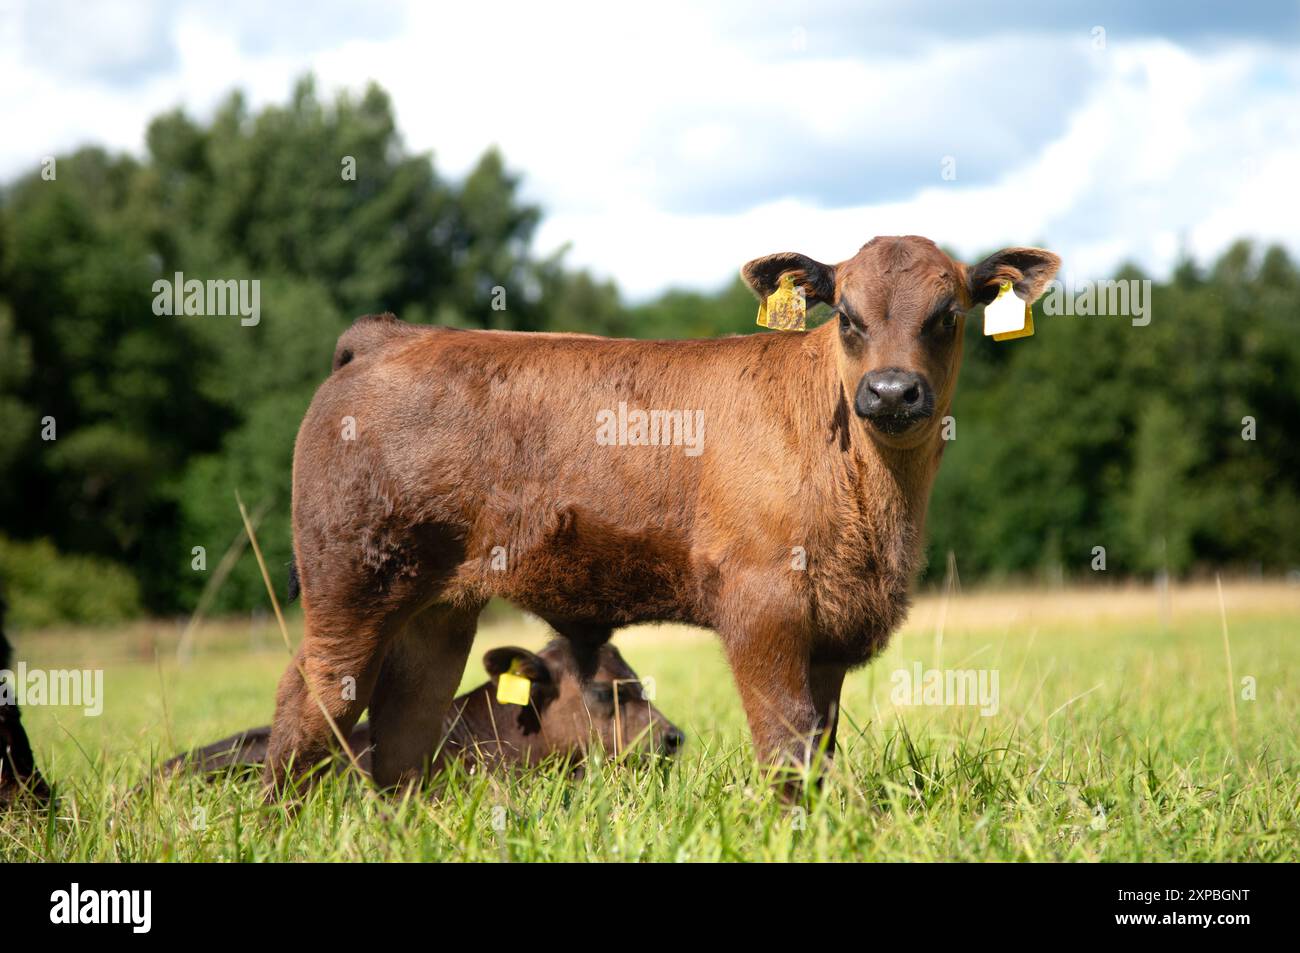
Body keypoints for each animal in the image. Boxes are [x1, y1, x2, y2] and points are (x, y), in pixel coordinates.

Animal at [265, 235, 1060, 792]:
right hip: (352, 585)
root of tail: (391, 335)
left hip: (434, 607)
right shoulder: (762, 609)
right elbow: (786, 749)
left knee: (402, 728)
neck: (872, 501)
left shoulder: (832, 630)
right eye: (848, 316)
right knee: (311, 703)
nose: (892, 392)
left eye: (947, 315)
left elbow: (820, 749)